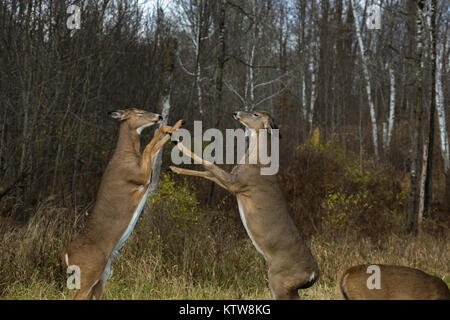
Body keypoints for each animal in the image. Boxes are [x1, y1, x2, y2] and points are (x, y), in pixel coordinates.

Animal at [61, 108, 183, 300]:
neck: (127, 155)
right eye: (139, 113)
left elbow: (153, 149)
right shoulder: (140, 175)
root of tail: (65, 255)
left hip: (104, 273)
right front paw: (171, 127)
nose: (159, 116)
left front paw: (174, 126)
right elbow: (148, 147)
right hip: (89, 273)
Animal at [169, 110, 320, 300]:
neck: (255, 159)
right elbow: (208, 173)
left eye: (255, 114)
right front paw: (173, 167)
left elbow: (209, 164)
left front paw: (177, 142)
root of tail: (313, 274)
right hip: (289, 287)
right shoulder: (232, 180)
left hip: (278, 279)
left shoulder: (238, 182)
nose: (236, 112)